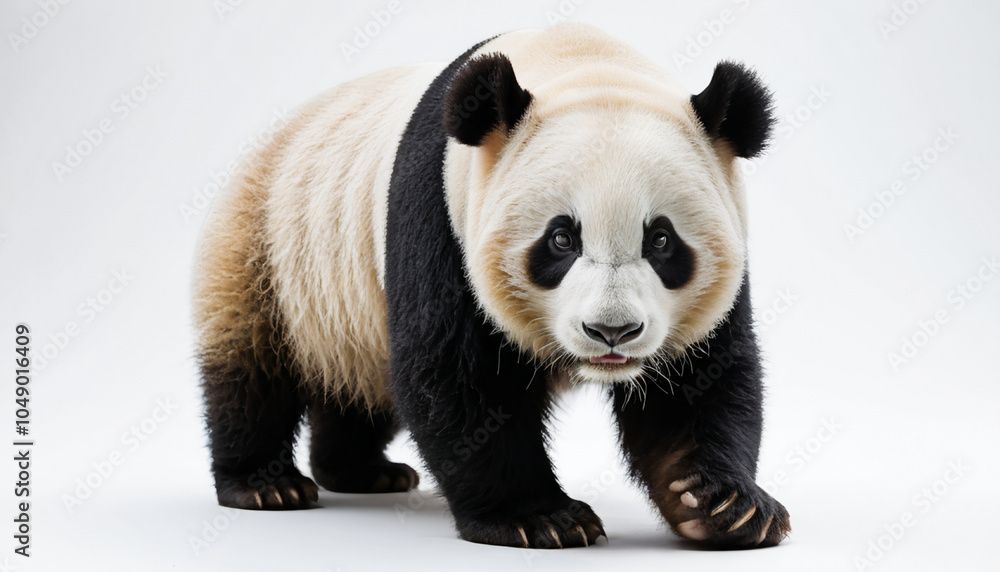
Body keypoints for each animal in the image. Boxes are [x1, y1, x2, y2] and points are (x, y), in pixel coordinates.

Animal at [193, 23, 790, 549]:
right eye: (561, 239)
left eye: (662, 240)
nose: (611, 332)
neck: (583, 63)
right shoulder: (442, 219)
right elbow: (456, 381)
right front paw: (540, 518)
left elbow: (700, 384)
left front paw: (723, 506)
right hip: (264, 247)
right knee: (250, 370)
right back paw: (266, 484)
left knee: (359, 385)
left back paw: (362, 471)